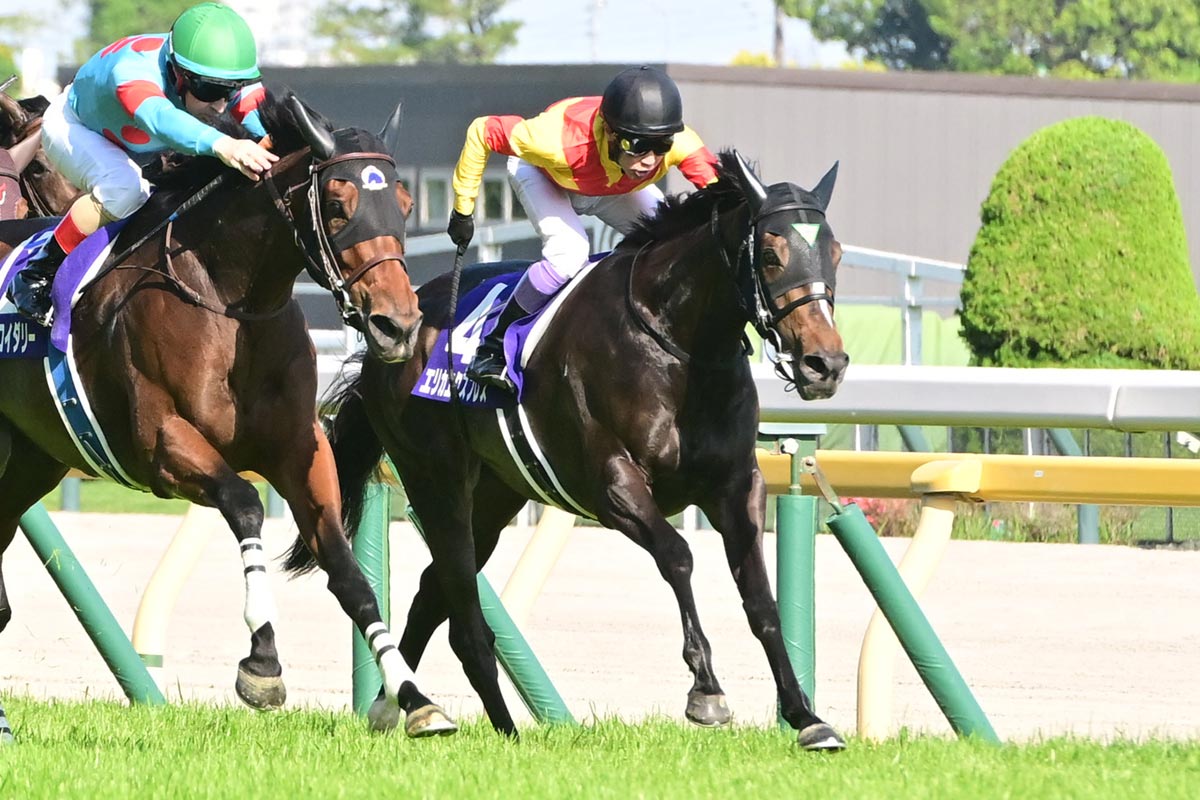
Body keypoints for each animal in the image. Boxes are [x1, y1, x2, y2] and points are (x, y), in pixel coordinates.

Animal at [0, 90, 456, 741]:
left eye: (406, 203)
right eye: (337, 205)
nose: (397, 324)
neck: (228, 300)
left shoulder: (301, 449)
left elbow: (347, 570)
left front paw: (414, 699)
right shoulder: (162, 446)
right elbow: (243, 502)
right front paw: (262, 662)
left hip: (34, 457)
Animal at [288, 150, 851, 749]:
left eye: (835, 253)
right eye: (770, 254)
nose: (826, 363)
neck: (675, 345)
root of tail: (394, 335)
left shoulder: (738, 486)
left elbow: (761, 597)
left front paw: (807, 717)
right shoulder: (612, 484)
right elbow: (678, 556)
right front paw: (707, 690)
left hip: (494, 499)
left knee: (433, 592)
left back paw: (403, 708)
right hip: (436, 481)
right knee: (464, 615)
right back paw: (482, 723)